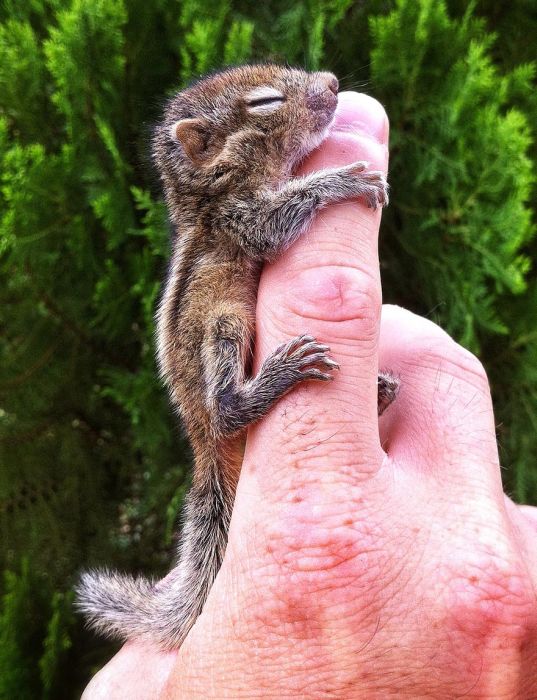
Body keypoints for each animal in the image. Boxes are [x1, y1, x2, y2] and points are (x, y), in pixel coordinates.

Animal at [76, 63, 398, 648]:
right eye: (266, 101)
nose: (332, 82)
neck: (208, 199)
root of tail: (201, 438)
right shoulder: (242, 219)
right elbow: (275, 221)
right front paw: (340, 182)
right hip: (223, 327)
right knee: (226, 407)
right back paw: (274, 379)